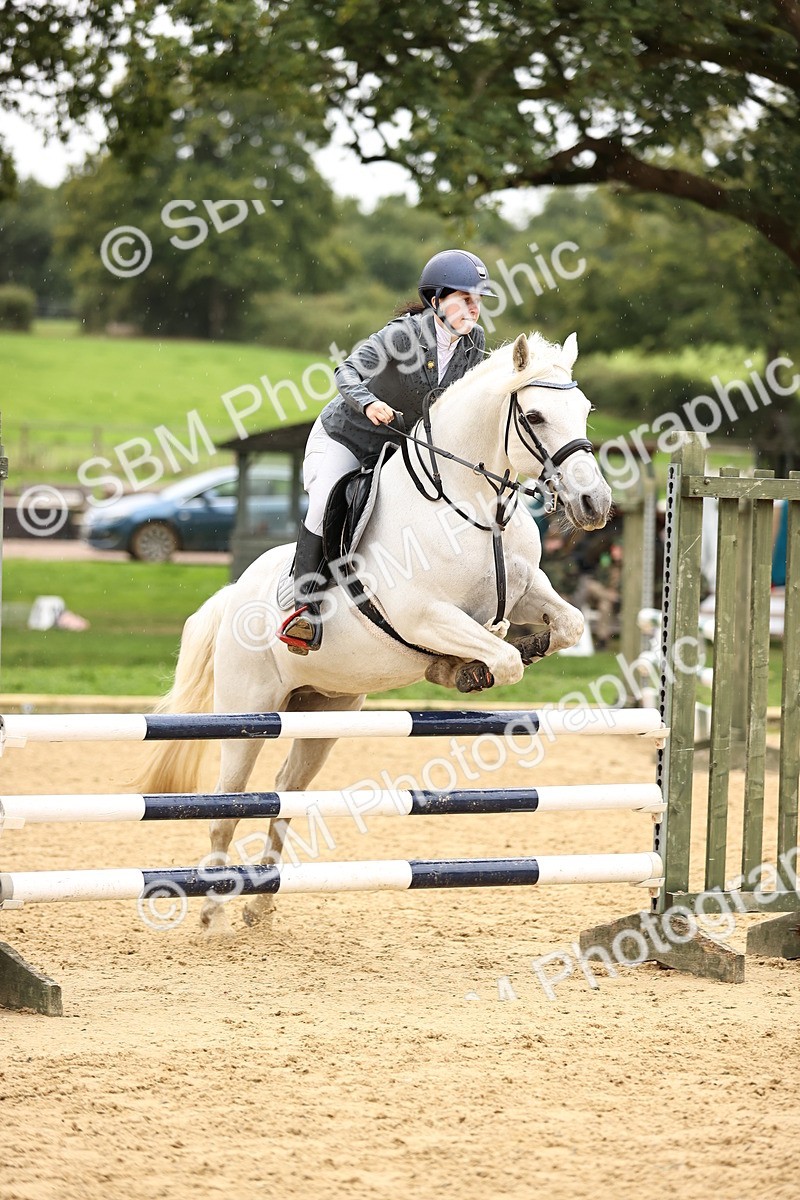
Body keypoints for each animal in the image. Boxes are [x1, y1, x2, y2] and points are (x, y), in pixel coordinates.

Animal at [137, 331, 613, 932]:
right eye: (533, 415)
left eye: (587, 410)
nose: (595, 505)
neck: (472, 506)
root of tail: (233, 596)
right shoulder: (423, 614)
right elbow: (500, 657)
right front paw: (466, 669)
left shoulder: (527, 590)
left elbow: (566, 626)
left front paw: (505, 653)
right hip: (247, 711)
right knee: (229, 801)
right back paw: (212, 912)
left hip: (326, 710)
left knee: (286, 793)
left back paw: (261, 903)